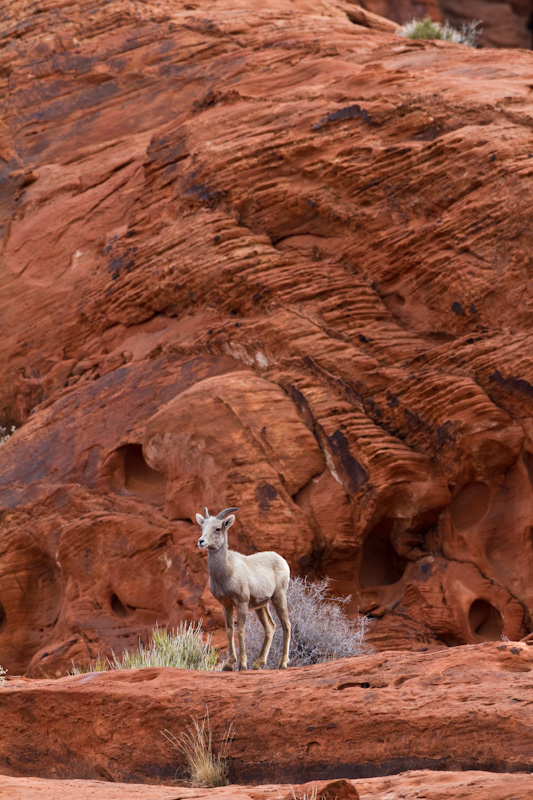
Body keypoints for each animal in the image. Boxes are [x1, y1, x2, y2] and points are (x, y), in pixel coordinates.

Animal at [196, 506, 290, 668]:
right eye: (202, 527)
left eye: (217, 529)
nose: (201, 541)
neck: (226, 573)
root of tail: (282, 560)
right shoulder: (225, 605)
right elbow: (229, 631)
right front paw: (228, 665)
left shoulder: (242, 603)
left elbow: (240, 631)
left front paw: (242, 664)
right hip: (261, 606)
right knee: (270, 627)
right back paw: (258, 664)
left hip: (279, 597)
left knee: (286, 625)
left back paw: (282, 664)